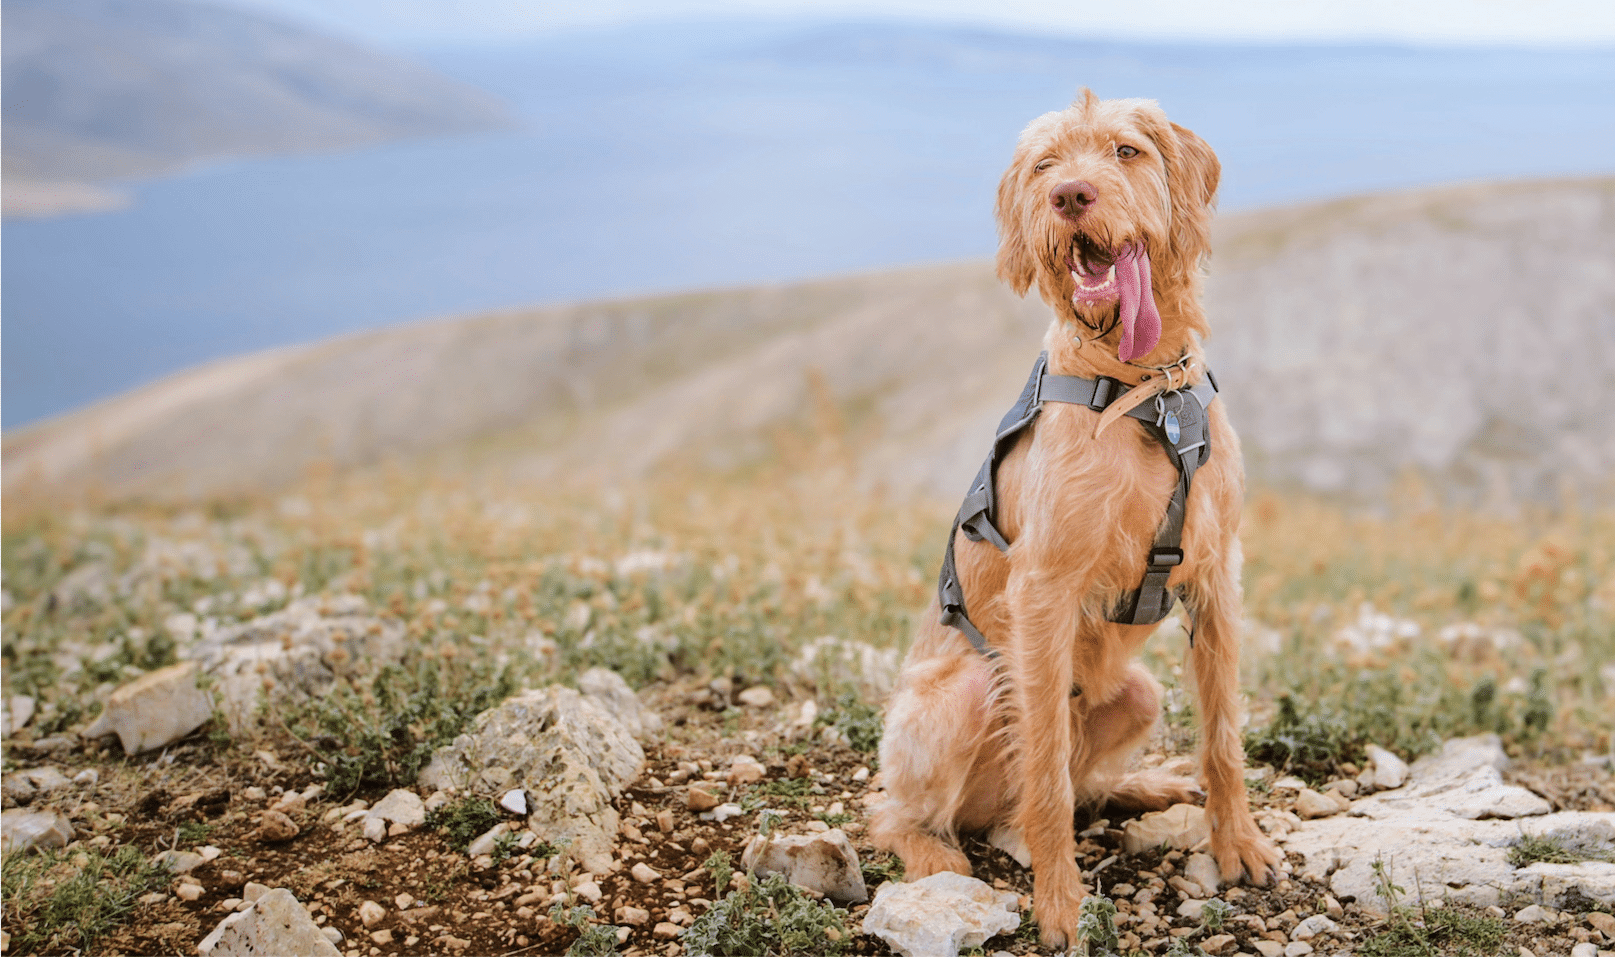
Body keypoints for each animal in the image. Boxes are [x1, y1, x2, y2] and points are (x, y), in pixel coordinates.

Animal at [872, 93, 1285, 942]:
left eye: (1126, 150)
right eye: (1043, 166)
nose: (1069, 196)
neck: (1143, 387)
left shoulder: (1215, 575)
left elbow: (1223, 736)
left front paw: (1238, 842)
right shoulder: (1043, 589)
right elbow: (1047, 783)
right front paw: (1060, 903)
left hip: (1136, 693)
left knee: (1087, 777)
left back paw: (1141, 787)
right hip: (965, 692)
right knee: (901, 810)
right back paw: (934, 852)